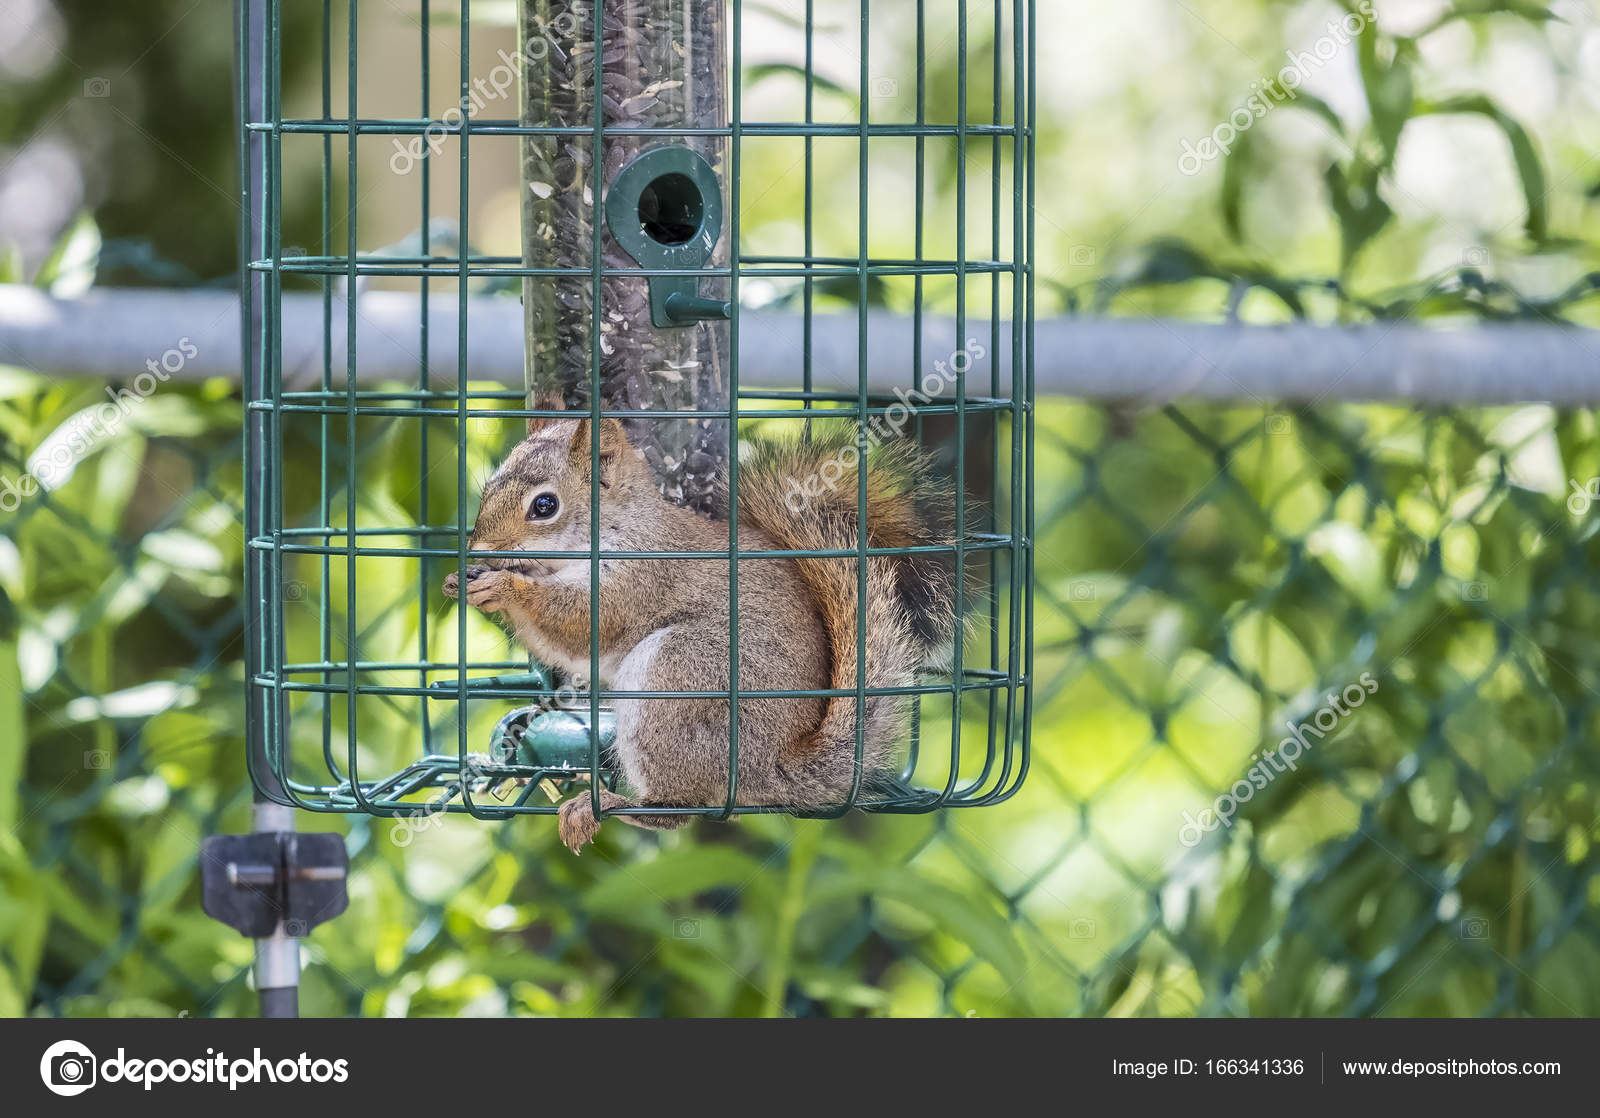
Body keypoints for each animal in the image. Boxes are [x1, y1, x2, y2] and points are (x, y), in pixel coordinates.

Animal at [442, 411, 956, 853]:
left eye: (544, 505)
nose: (479, 551)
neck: (615, 527)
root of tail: (768, 768)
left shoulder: (641, 577)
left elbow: (583, 622)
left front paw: (502, 587)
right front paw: (459, 582)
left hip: (677, 678)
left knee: (678, 811)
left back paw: (608, 805)